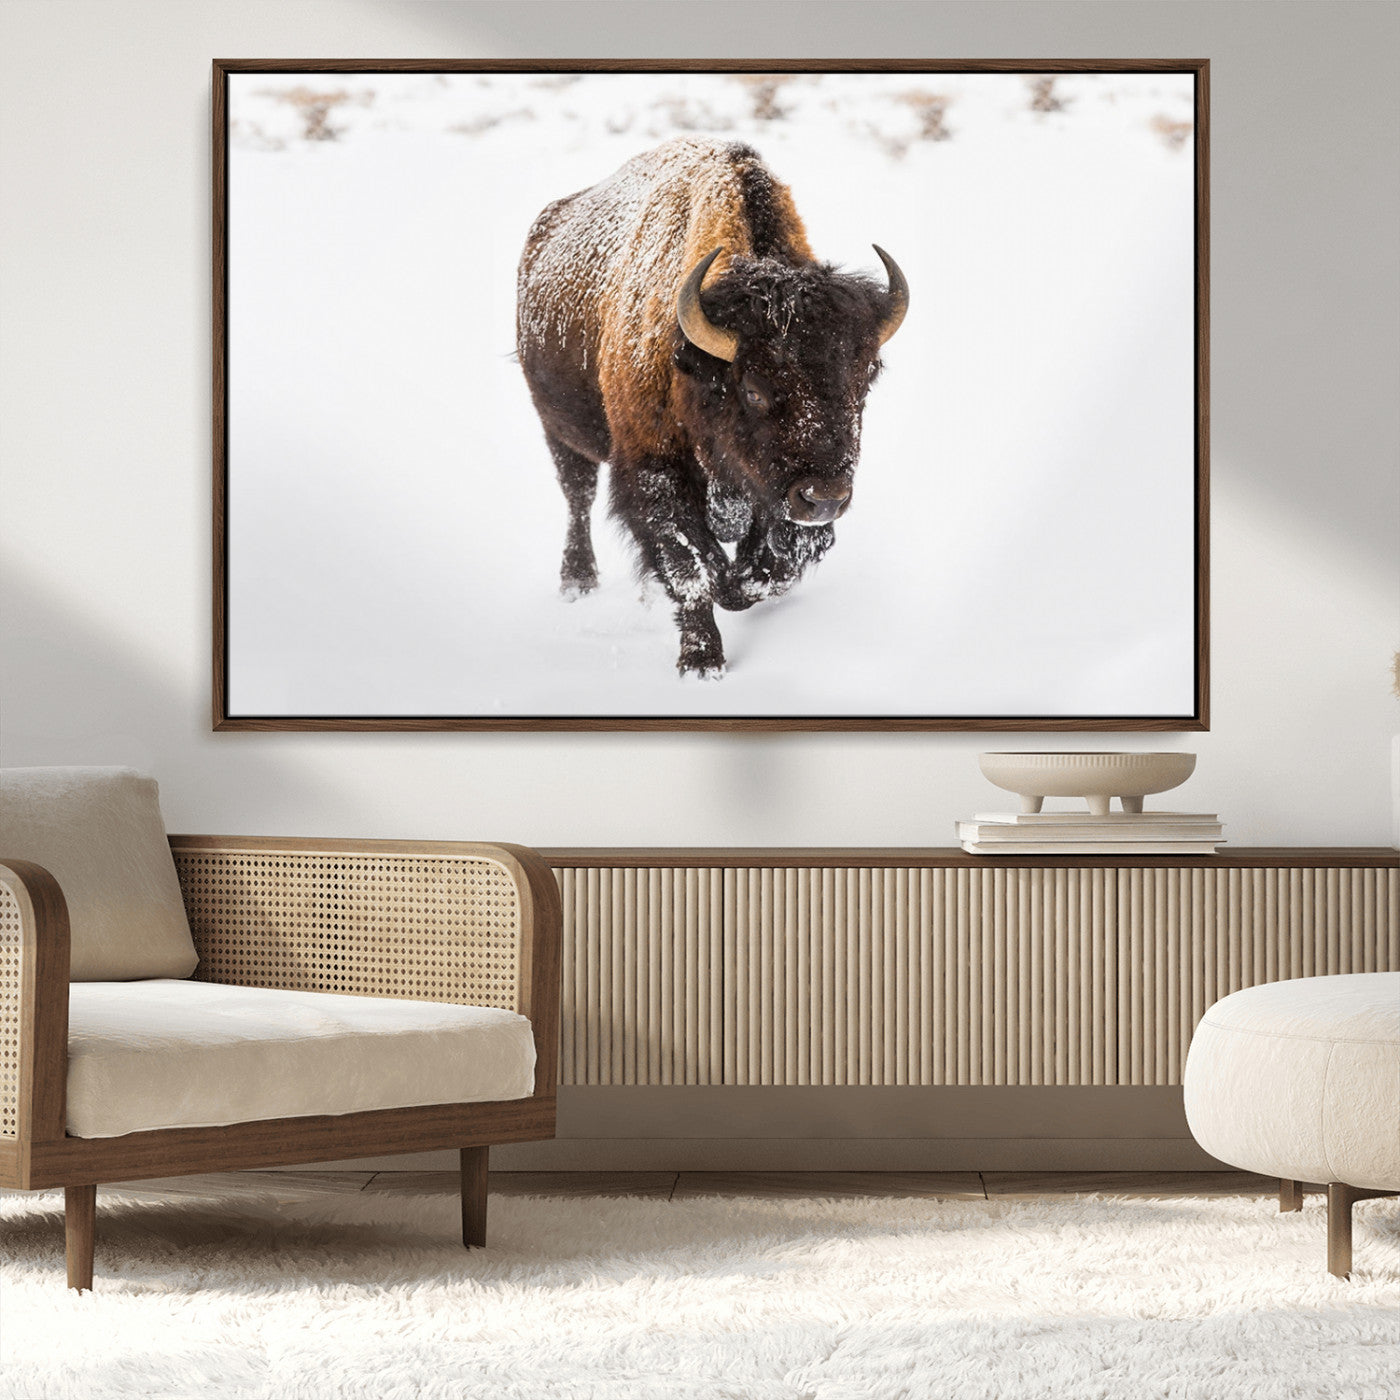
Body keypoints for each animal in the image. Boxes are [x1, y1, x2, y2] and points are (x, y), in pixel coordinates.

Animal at [516, 136, 907, 678]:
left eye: (865, 380)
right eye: (754, 389)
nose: (824, 498)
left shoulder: (774, 497)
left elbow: (770, 569)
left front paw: (738, 586)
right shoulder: (655, 471)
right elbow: (692, 569)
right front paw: (702, 662)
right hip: (559, 430)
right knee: (578, 496)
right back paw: (577, 581)